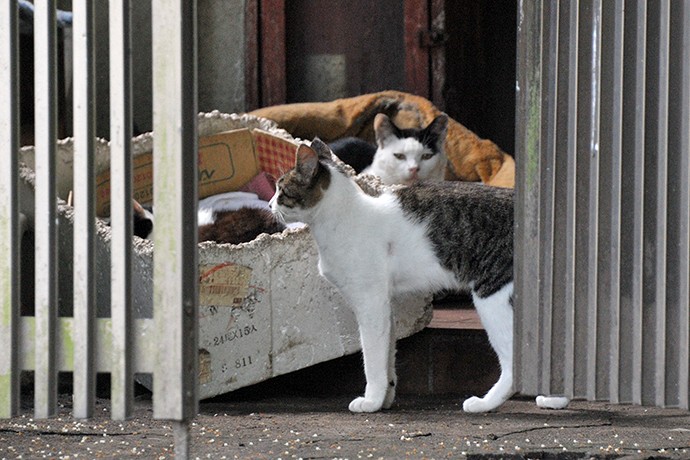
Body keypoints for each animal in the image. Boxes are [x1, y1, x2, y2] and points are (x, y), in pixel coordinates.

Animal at [270, 139, 568, 414]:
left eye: (281, 189)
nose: (270, 204)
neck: (342, 216)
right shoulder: (385, 306)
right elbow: (388, 357)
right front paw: (385, 398)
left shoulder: (370, 303)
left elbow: (372, 359)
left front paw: (371, 401)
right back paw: (556, 399)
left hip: (492, 298)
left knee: (514, 363)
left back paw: (484, 403)